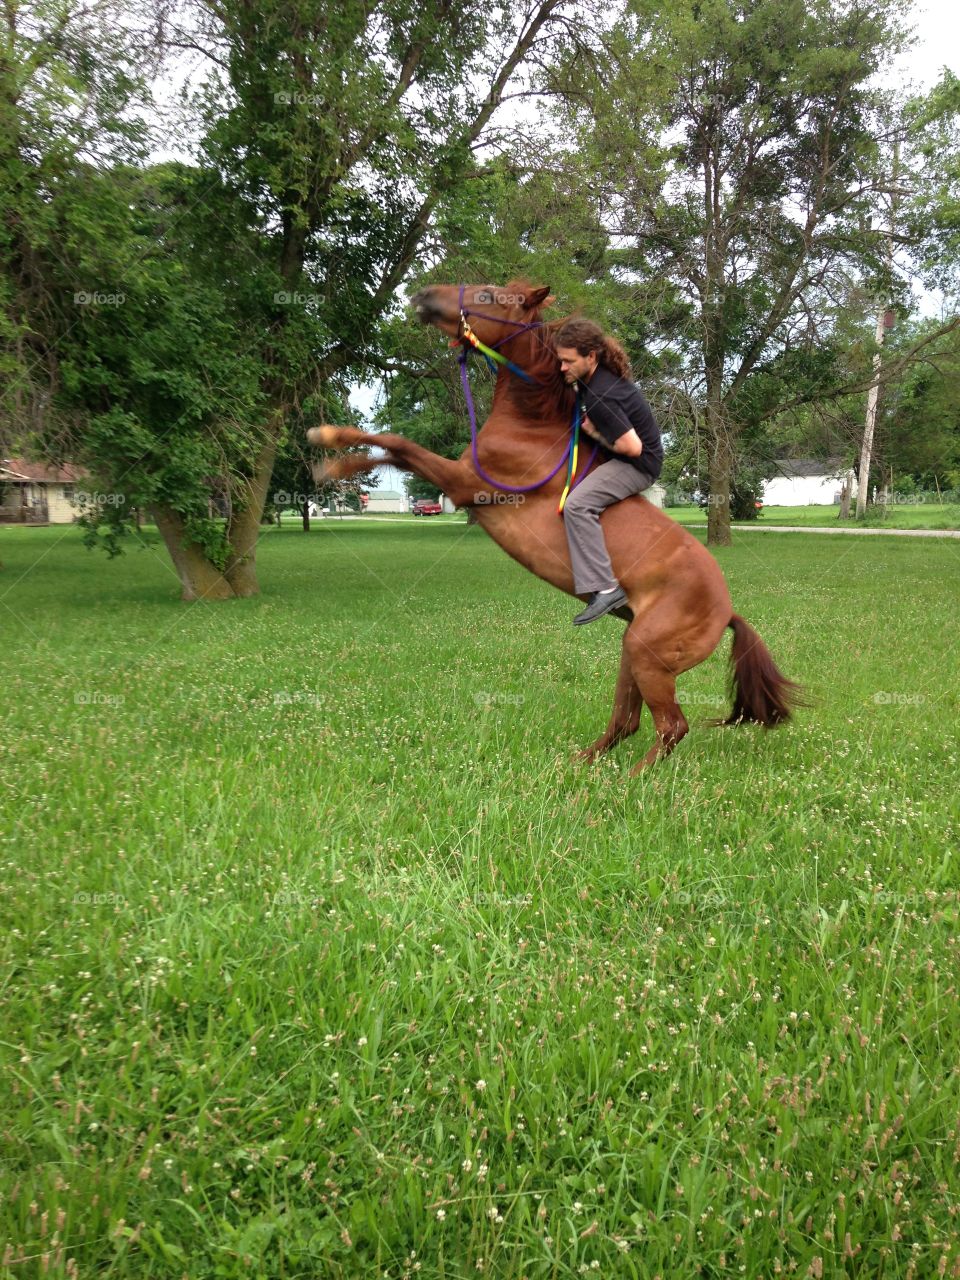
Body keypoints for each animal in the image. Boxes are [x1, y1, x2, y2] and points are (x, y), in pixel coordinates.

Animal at [308, 279, 803, 771]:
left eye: (488, 296)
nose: (424, 295)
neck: (532, 425)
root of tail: (727, 612)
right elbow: (394, 451)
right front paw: (331, 453)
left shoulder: (466, 483)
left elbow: (397, 445)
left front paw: (327, 450)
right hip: (632, 650)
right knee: (626, 721)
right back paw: (581, 763)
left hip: (649, 657)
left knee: (670, 727)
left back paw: (629, 780)